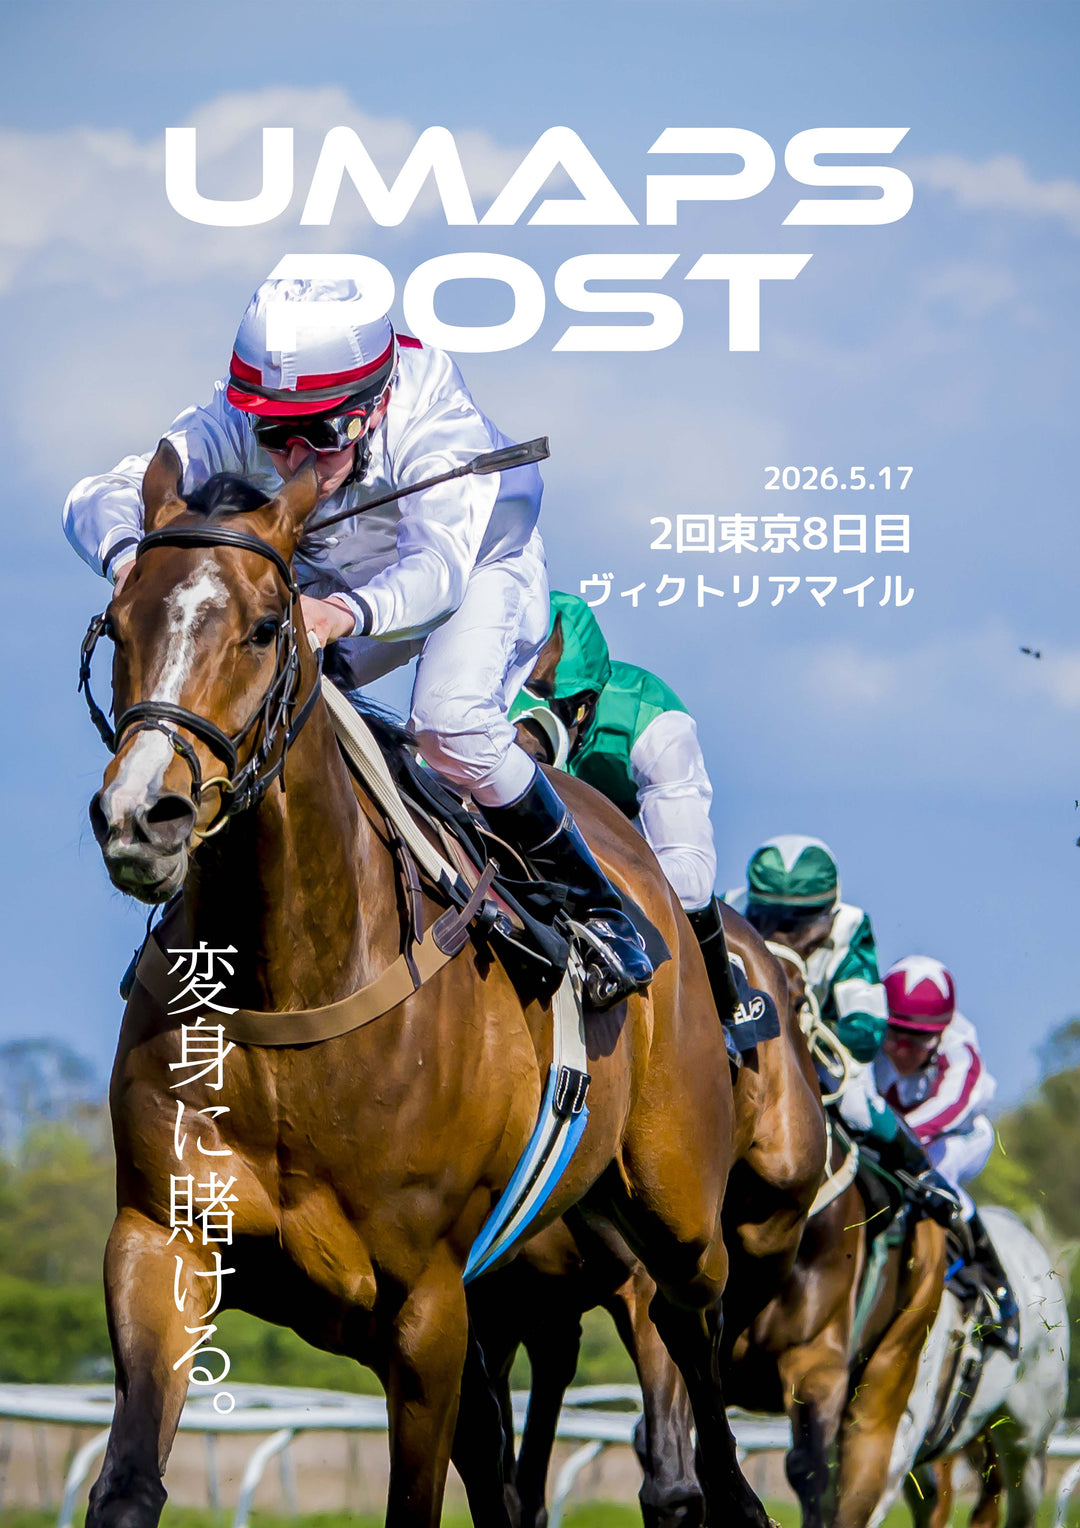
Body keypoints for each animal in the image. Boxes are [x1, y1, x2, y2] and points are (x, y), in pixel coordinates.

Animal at [79, 443, 776, 1528]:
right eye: (118, 623)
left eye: (266, 626)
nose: (141, 815)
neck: (285, 980)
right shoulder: (166, 1239)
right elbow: (125, 1484)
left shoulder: (429, 1303)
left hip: (675, 1203)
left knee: (692, 1333)